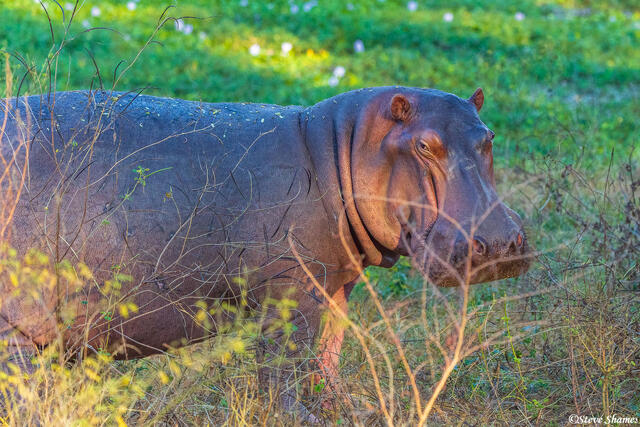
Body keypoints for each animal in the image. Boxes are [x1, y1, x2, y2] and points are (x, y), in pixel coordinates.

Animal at [0, 86, 530, 411]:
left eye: (489, 136)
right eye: (424, 145)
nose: (500, 242)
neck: (342, 146)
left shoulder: (334, 284)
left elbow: (328, 354)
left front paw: (346, 407)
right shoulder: (292, 291)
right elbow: (284, 365)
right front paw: (298, 414)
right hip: (17, 330)